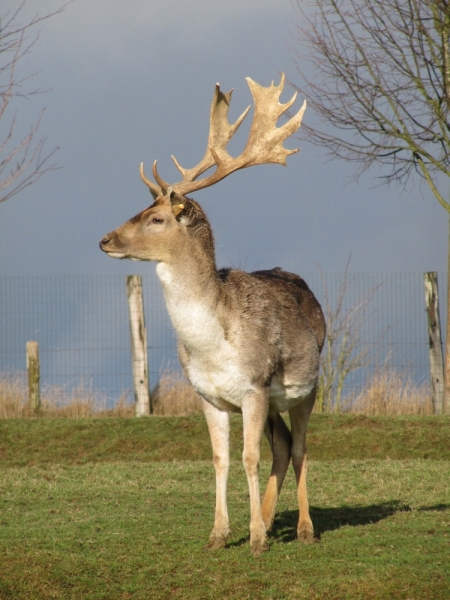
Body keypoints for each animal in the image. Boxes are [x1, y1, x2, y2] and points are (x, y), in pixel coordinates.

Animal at [99, 76, 324, 556]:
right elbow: (221, 459)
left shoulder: (255, 385)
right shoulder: (209, 396)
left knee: (299, 447)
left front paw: (255, 540)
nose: (105, 239)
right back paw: (269, 519)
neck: (214, 343)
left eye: (157, 218)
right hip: (274, 401)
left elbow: (249, 457)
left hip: (307, 387)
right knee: (282, 446)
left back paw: (303, 528)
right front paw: (220, 535)